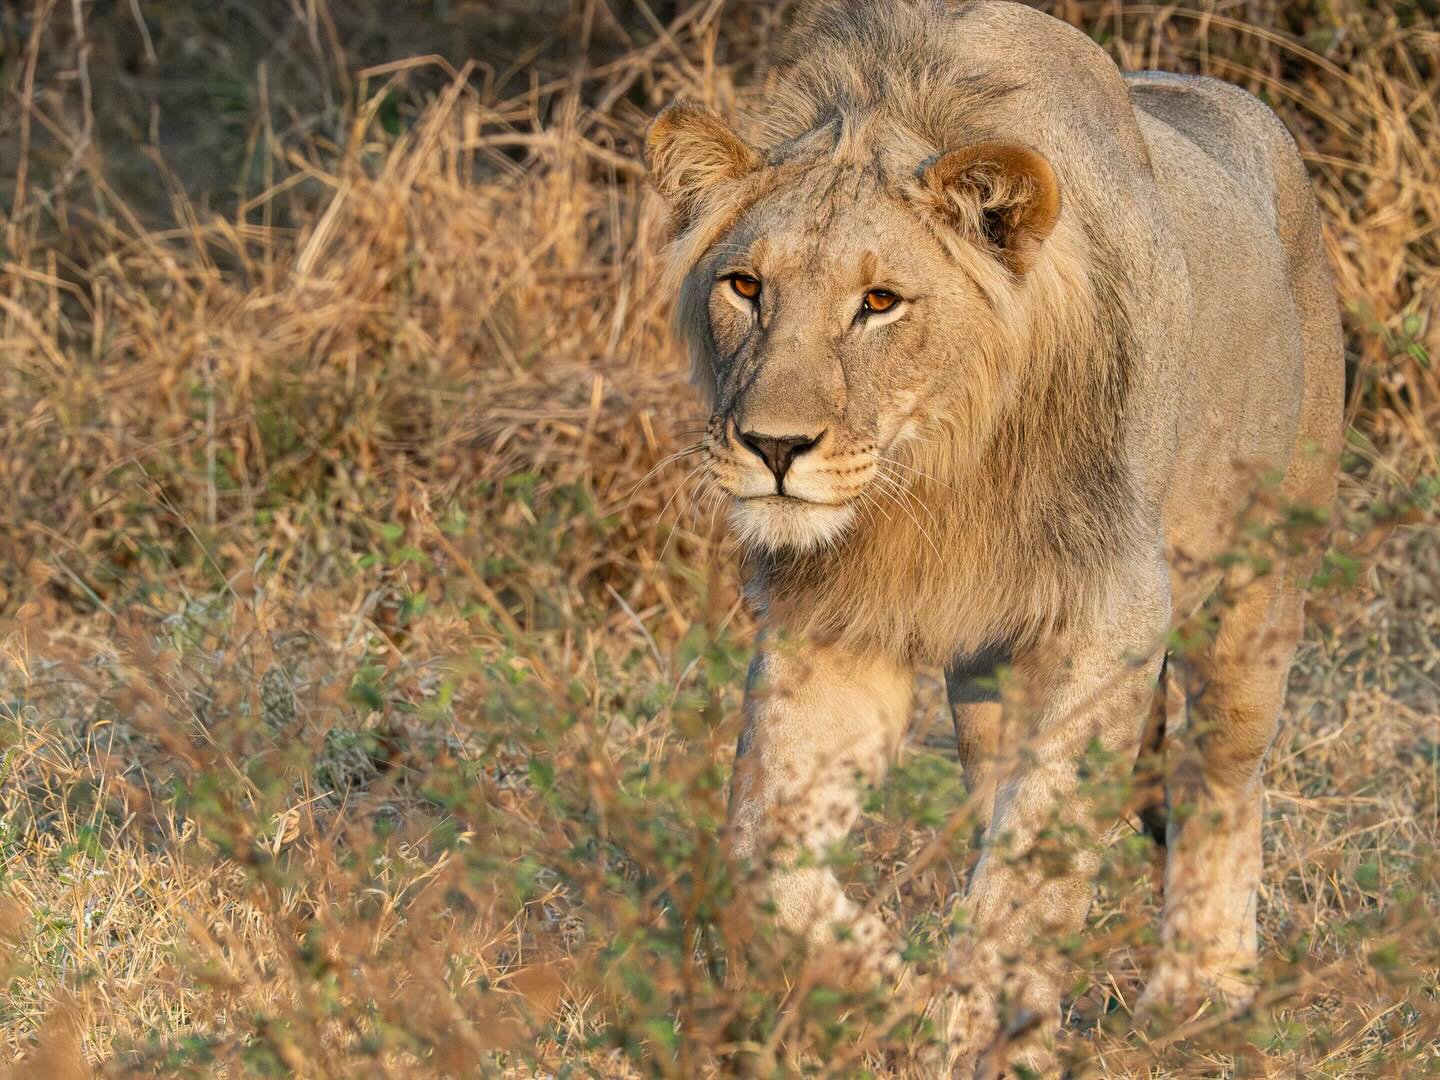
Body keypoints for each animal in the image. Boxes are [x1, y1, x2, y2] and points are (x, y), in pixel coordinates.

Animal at [644, 0, 1342, 1069]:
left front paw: (974, 1028)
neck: (935, 478)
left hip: (1258, 591)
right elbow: (765, 859)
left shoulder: (1116, 615)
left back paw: (1204, 994)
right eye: (746, 287)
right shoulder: (836, 627)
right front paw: (899, 993)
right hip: (987, 686)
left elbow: (1033, 872)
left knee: (1224, 780)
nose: (773, 447)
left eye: (879, 302)